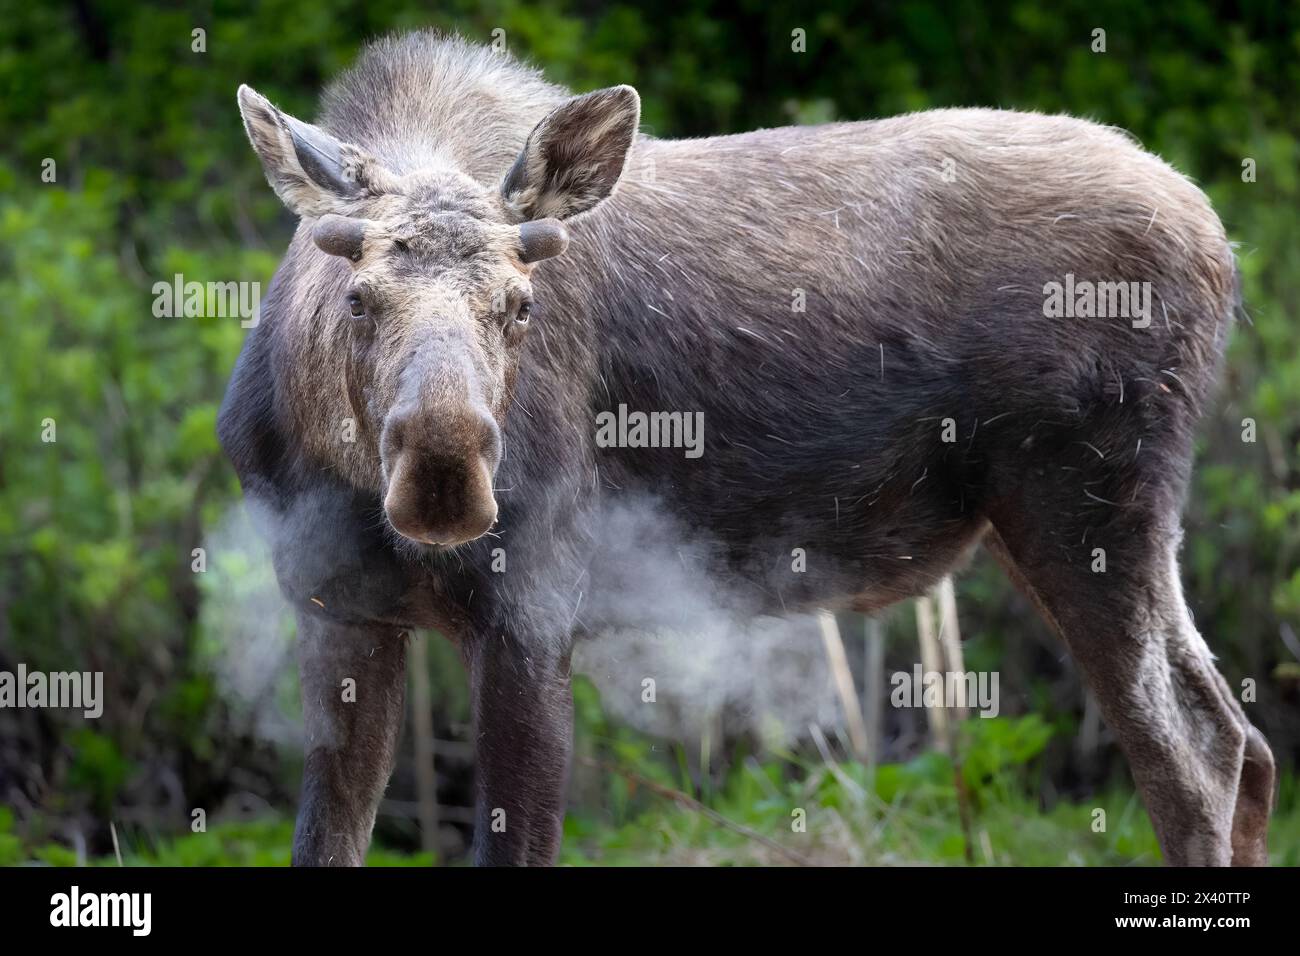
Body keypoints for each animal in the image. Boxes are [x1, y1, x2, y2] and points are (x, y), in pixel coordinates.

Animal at [220, 31, 1268, 868]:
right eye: (358, 297)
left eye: (521, 306)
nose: (444, 468)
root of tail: (1220, 240)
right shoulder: (336, 611)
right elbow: (325, 840)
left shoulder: (532, 610)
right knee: (1244, 743)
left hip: (1086, 502)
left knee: (1194, 756)